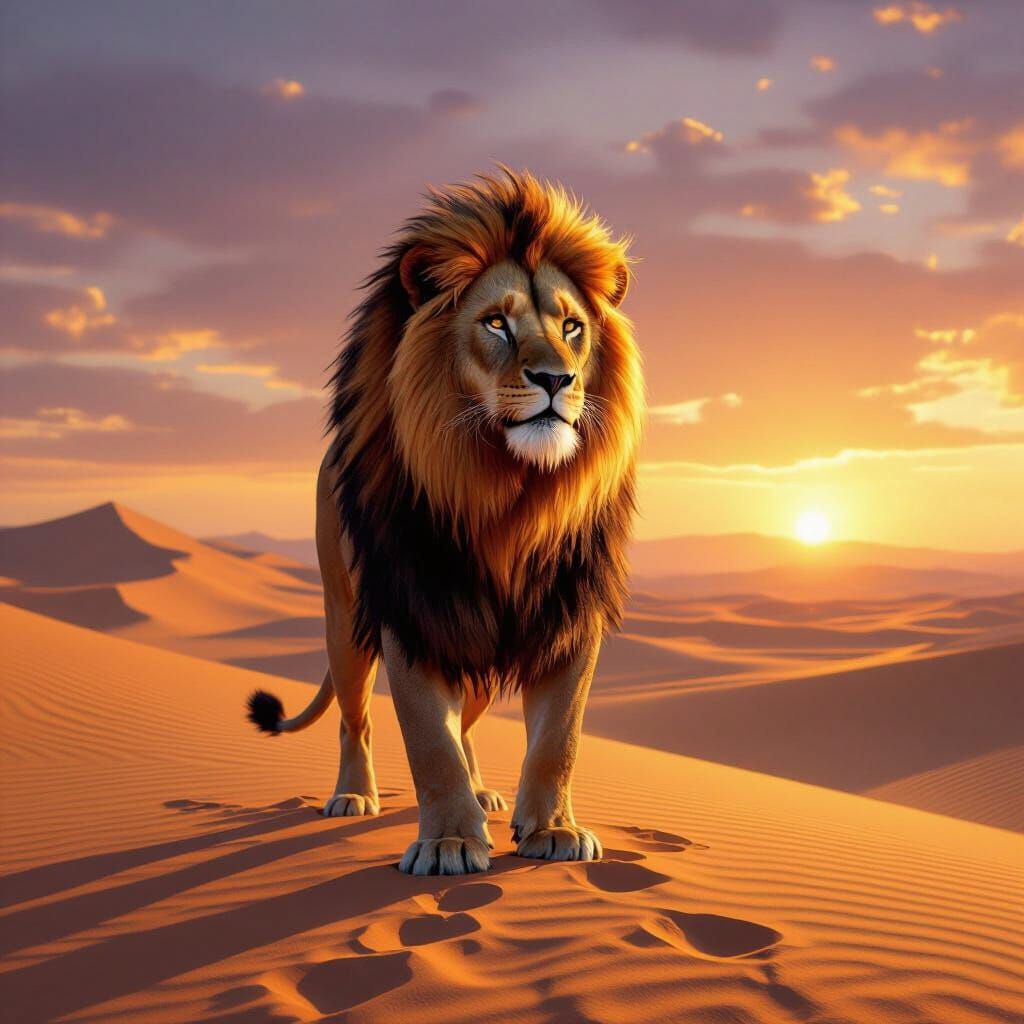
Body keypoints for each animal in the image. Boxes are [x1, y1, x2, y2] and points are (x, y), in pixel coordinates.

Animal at [247, 168, 642, 875]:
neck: (507, 494)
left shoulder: (569, 614)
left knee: (471, 723)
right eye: (495, 324)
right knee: (356, 718)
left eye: (572, 327)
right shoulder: (414, 611)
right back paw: (354, 796)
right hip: (347, 621)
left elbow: (558, 738)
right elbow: (430, 741)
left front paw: (554, 830)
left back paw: (483, 792)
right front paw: (449, 843)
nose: (557, 379)